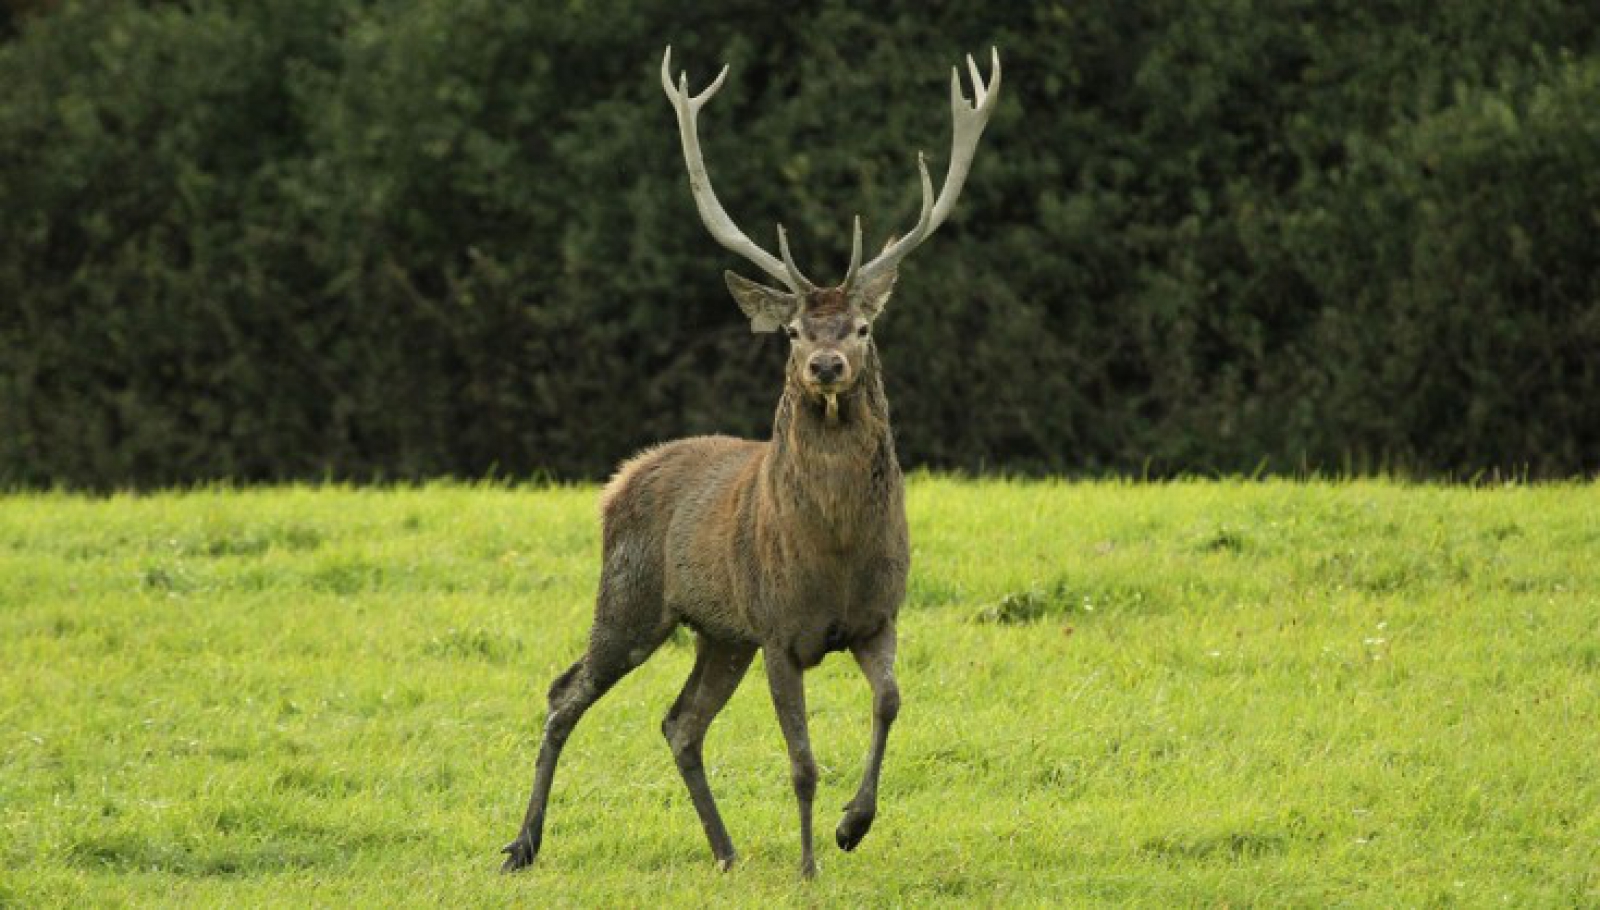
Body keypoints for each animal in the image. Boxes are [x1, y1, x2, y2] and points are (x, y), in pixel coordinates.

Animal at [499, 44, 998, 882]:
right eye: (794, 331)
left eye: (862, 326)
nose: (827, 365)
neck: (835, 552)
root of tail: (618, 480)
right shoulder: (778, 628)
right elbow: (801, 762)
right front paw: (810, 863)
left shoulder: (877, 616)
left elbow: (890, 703)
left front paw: (853, 826)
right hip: (634, 598)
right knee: (565, 691)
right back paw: (522, 844)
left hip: (718, 633)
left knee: (679, 722)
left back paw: (726, 851)